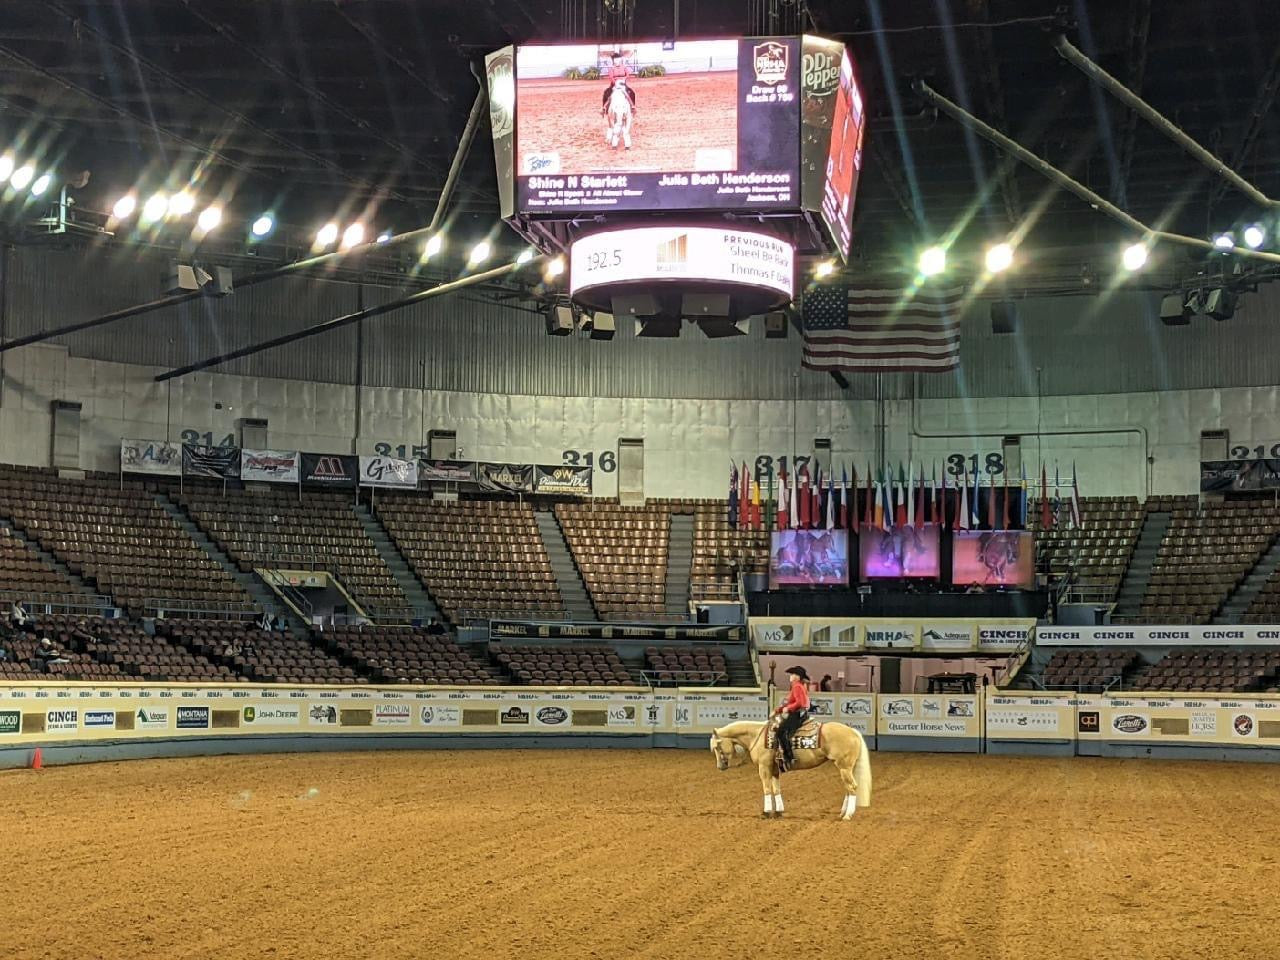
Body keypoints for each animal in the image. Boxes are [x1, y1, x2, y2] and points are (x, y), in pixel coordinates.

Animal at [709, 719, 872, 820]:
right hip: (846, 768)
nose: (720, 766)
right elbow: (776, 789)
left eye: (717, 746)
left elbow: (767, 789)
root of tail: (852, 731)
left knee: (852, 787)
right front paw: (778, 812)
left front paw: (766, 812)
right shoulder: (774, 770)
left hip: (844, 767)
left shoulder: (764, 768)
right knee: (848, 788)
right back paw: (843, 813)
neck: (756, 735)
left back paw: (847, 815)